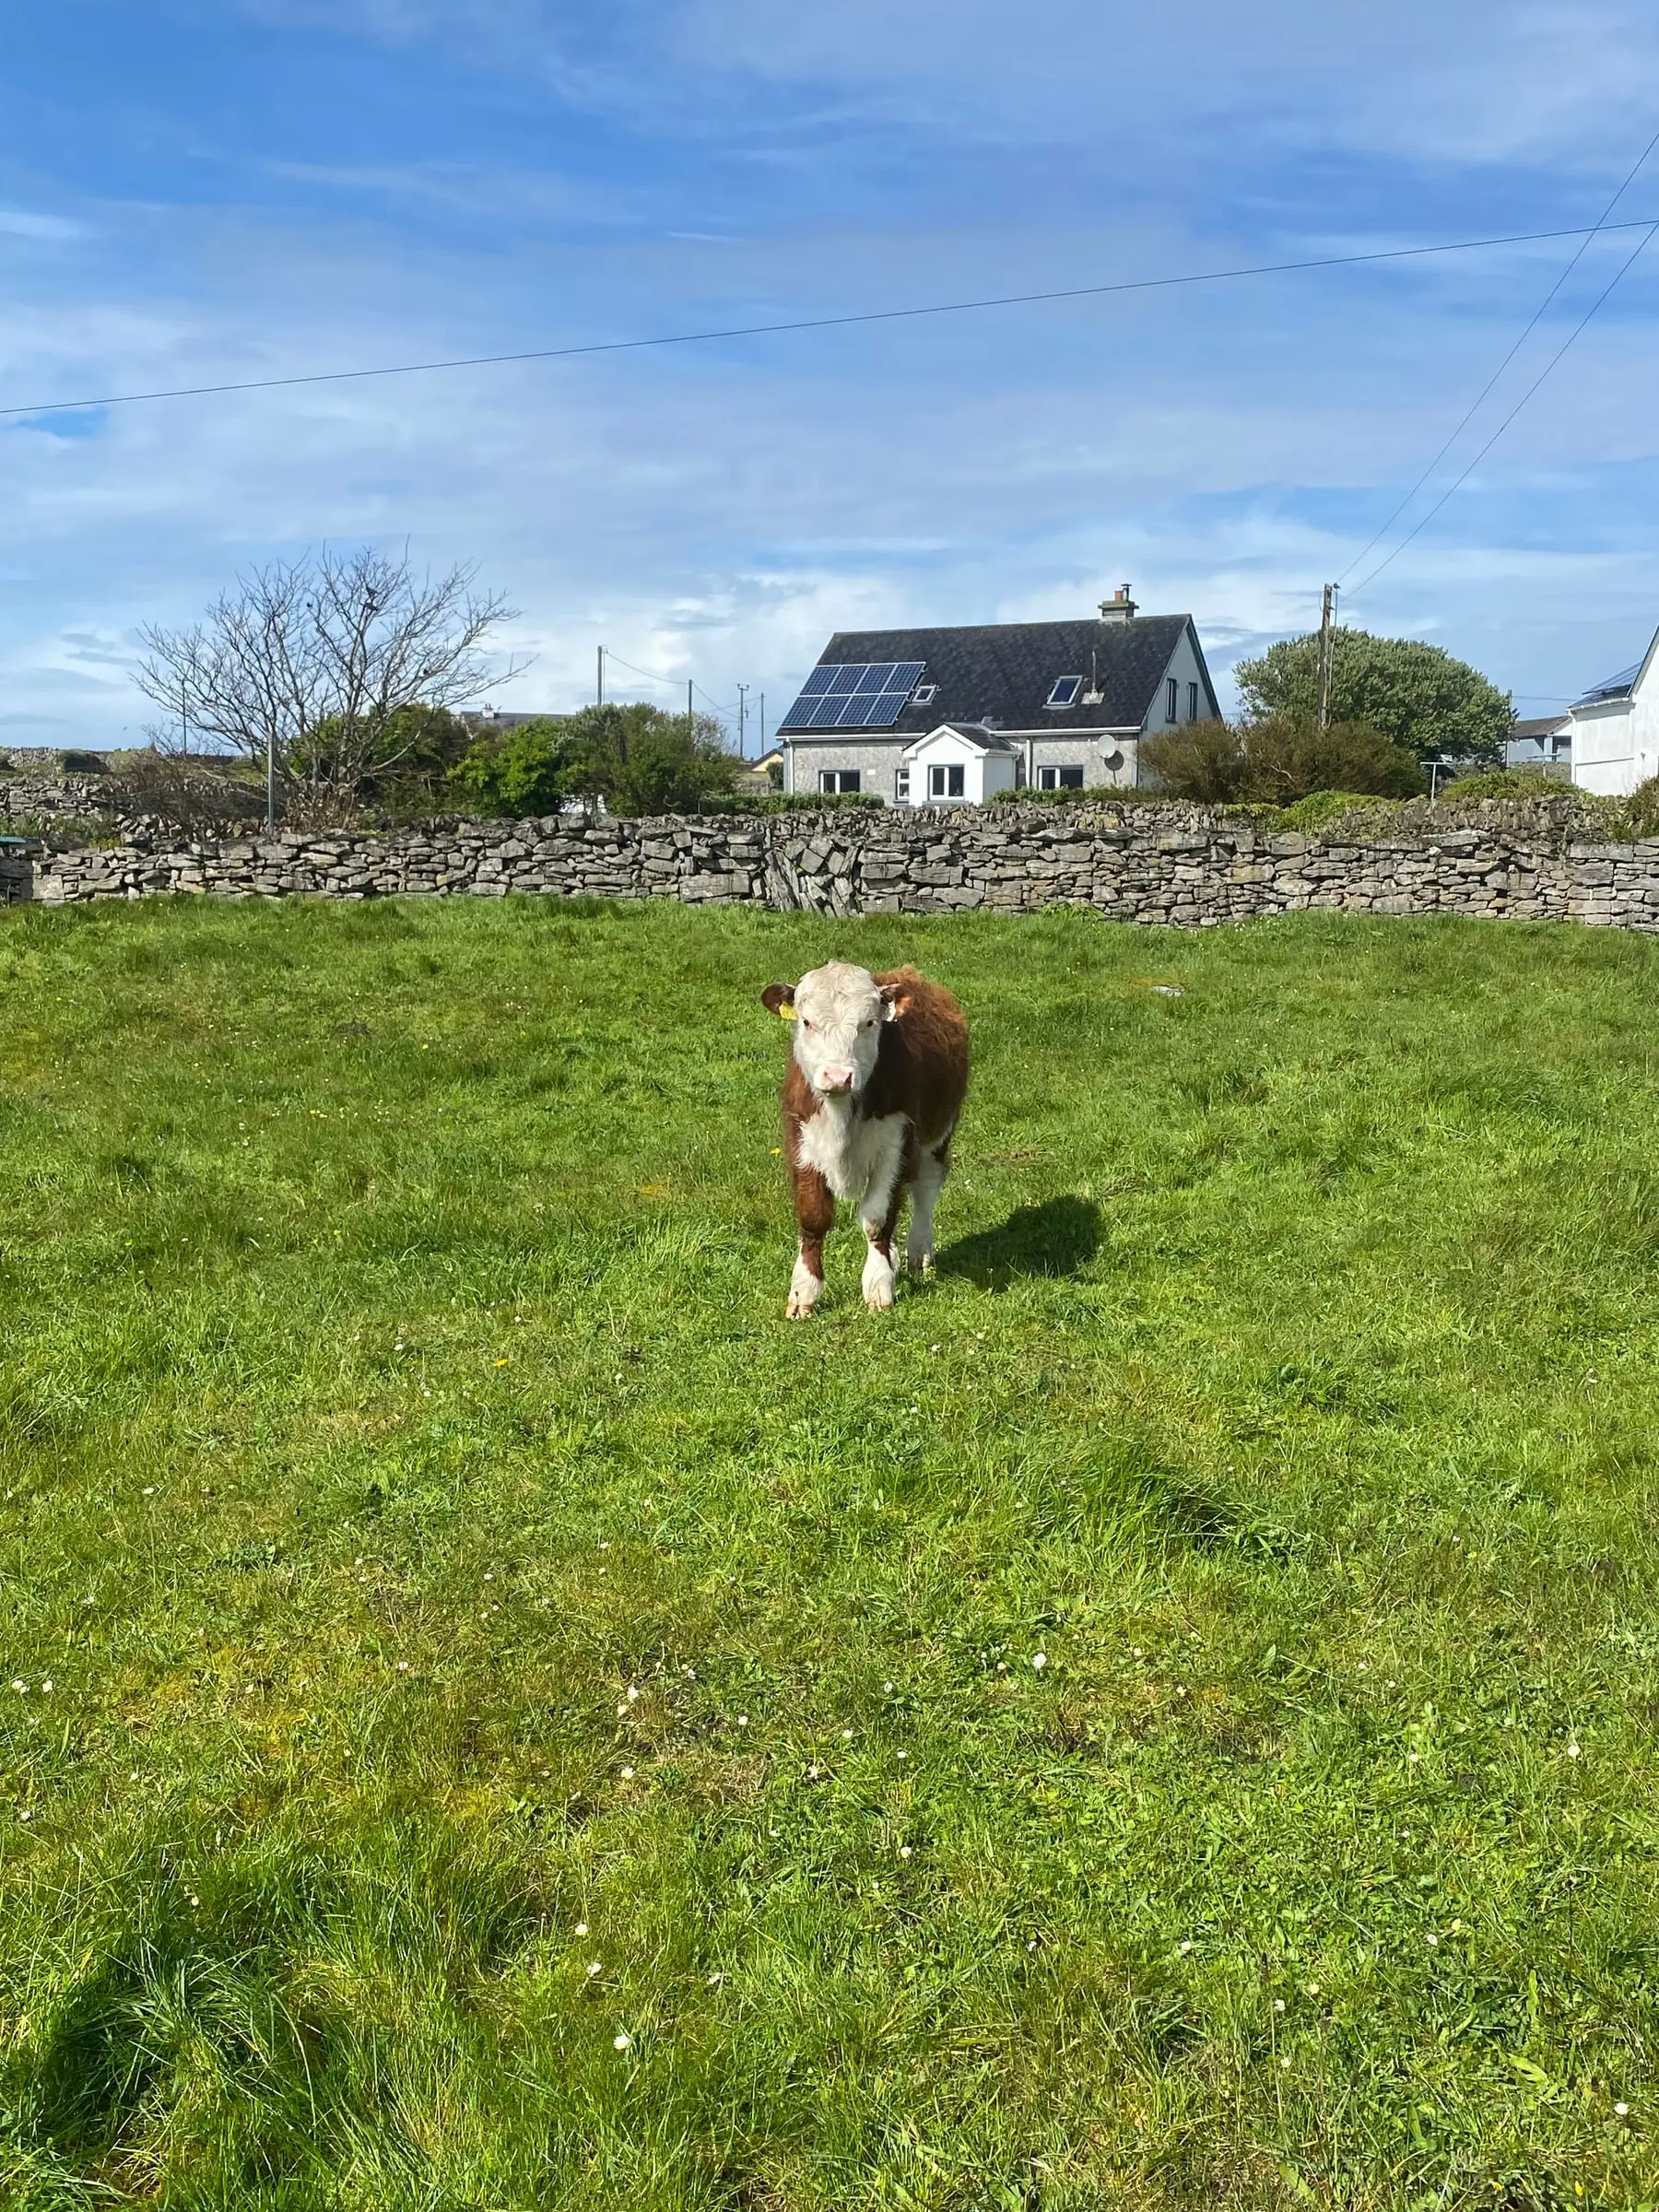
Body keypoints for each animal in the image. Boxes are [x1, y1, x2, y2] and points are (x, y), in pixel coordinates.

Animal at [759, 961, 969, 1318]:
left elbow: (877, 1220)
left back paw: (919, 1255)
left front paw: (879, 1285)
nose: (837, 1077)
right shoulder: (801, 1143)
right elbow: (813, 1218)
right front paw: (804, 1292)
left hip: (937, 1137)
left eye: (869, 1023)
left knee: (925, 1190)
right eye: (806, 1021)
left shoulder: (896, 1146)